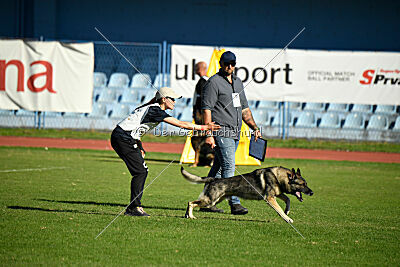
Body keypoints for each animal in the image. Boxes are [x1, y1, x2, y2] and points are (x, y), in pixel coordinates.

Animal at [180, 168, 314, 222]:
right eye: (302, 184)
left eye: (306, 183)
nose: (312, 192)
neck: (279, 177)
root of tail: (214, 179)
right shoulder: (270, 198)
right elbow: (280, 210)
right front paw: (287, 218)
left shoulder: (277, 194)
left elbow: (288, 200)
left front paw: (287, 211)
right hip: (209, 201)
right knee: (191, 203)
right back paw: (191, 216)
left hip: (215, 200)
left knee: (190, 203)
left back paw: (187, 215)